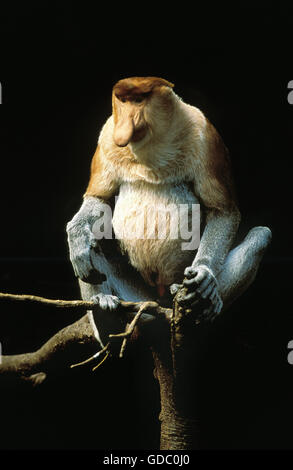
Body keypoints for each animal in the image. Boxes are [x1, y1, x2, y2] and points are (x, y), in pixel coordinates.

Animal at [65, 77, 270, 342]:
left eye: (138, 101)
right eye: (123, 101)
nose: (125, 125)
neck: (152, 144)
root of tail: (159, 299)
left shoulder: (205, 135)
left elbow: (222, 209)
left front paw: (203, 275)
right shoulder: (107, 136)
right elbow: (99, 199)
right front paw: (77, 240)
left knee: (262, 235)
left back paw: (201, 305)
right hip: (135, 296)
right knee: (94, 246)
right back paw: (104, 315)